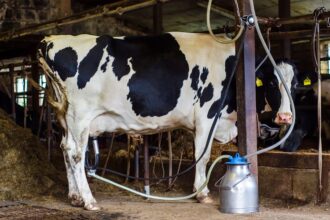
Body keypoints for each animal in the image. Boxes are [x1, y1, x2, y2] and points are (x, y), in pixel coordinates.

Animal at [39, 32, 296, 210]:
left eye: (294, 84)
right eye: (272, 83)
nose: (286, 116)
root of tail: (51, 39)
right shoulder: (207, 114)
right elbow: (202, 156)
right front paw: (202, 193)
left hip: (65, 117)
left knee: (65, 149)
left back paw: (74, 197)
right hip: (80, 116)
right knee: (76, 154)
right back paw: (89, 200)